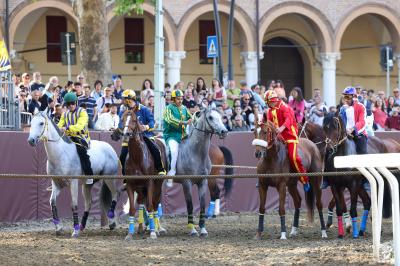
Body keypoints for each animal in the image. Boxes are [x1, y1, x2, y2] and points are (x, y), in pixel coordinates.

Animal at [119, 110, 169, 241]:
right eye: (122, 119)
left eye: (134, 120)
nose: (126, 134)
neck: (137, 157)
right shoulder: (131, 184)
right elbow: (132, 209)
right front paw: (129, 234)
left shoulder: (150, 183)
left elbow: (151, 206)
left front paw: (152, 232)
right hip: (140, 187)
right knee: (142, 201)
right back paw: (142, 227)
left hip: (157, 184)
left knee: (155, 203)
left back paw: (157, 228)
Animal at [173, 107, 227, 236]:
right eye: (210, 117)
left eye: (221, 116)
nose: (224, 131)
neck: (195, 152)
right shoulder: (186, 183)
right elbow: (190, 205)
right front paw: (192, 229)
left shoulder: (203, 181)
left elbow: (202, 204)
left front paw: (202, 229)